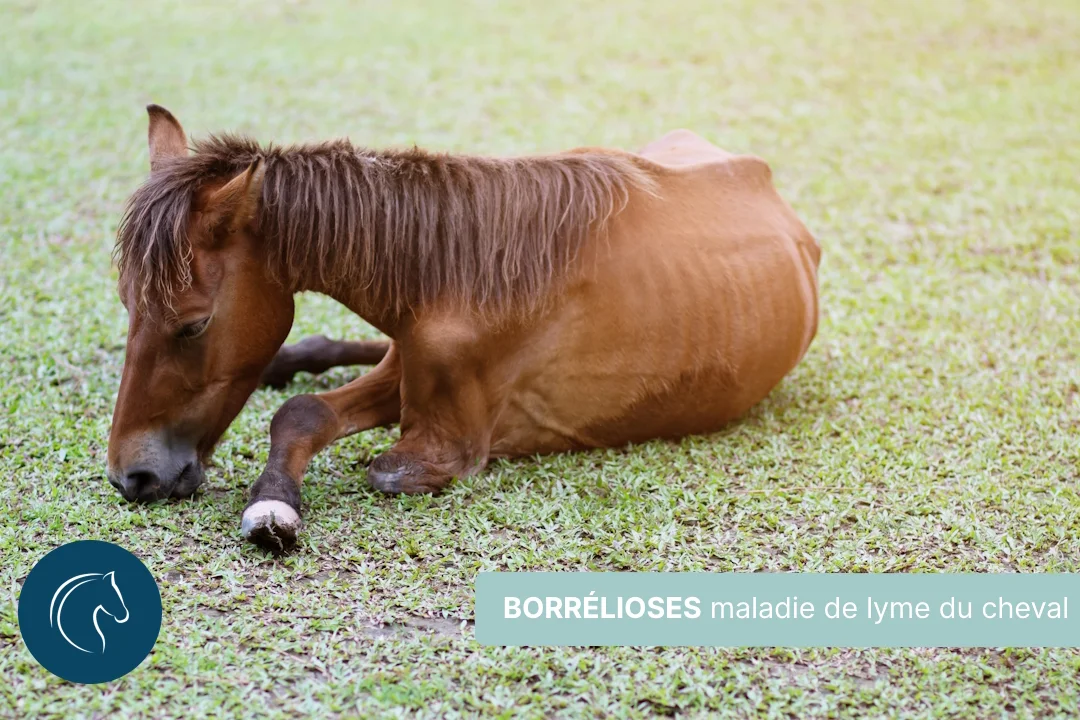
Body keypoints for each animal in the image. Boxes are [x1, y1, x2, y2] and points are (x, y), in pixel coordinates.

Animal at [107, 105, 820, 552]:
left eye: (193, 325)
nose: (130, 477)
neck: (460, 274)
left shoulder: (444, 446)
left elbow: (378, 466)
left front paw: (273, 508)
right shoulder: (404, 369)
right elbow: (302, 413)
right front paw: (274, 499)